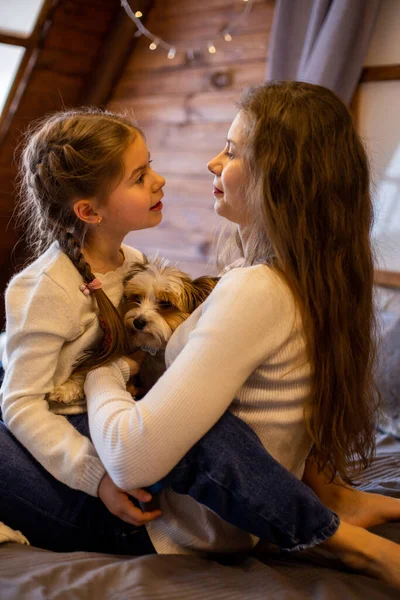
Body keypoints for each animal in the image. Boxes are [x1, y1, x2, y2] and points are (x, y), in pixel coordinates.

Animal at [48, 255, 220, 406]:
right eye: (137, 298)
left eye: (165, 303)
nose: (138, 322)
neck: (152, 350)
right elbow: (96, 365)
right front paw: (67, 389)